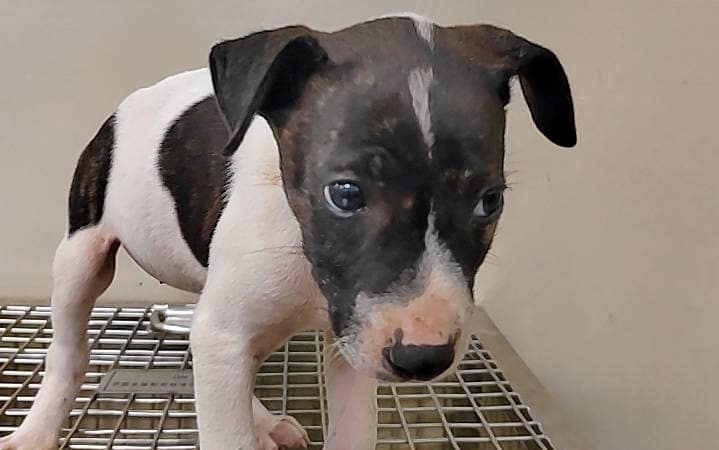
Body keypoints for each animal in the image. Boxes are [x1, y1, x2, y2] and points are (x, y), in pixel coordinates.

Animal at [0, 13, 575, 450]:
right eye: (345, 193)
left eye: (490, 201)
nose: (423, 358)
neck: (302, 247)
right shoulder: (242, 330)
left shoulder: (351, 342)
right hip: (80, 256)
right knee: (69, 353)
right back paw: (36, 431)